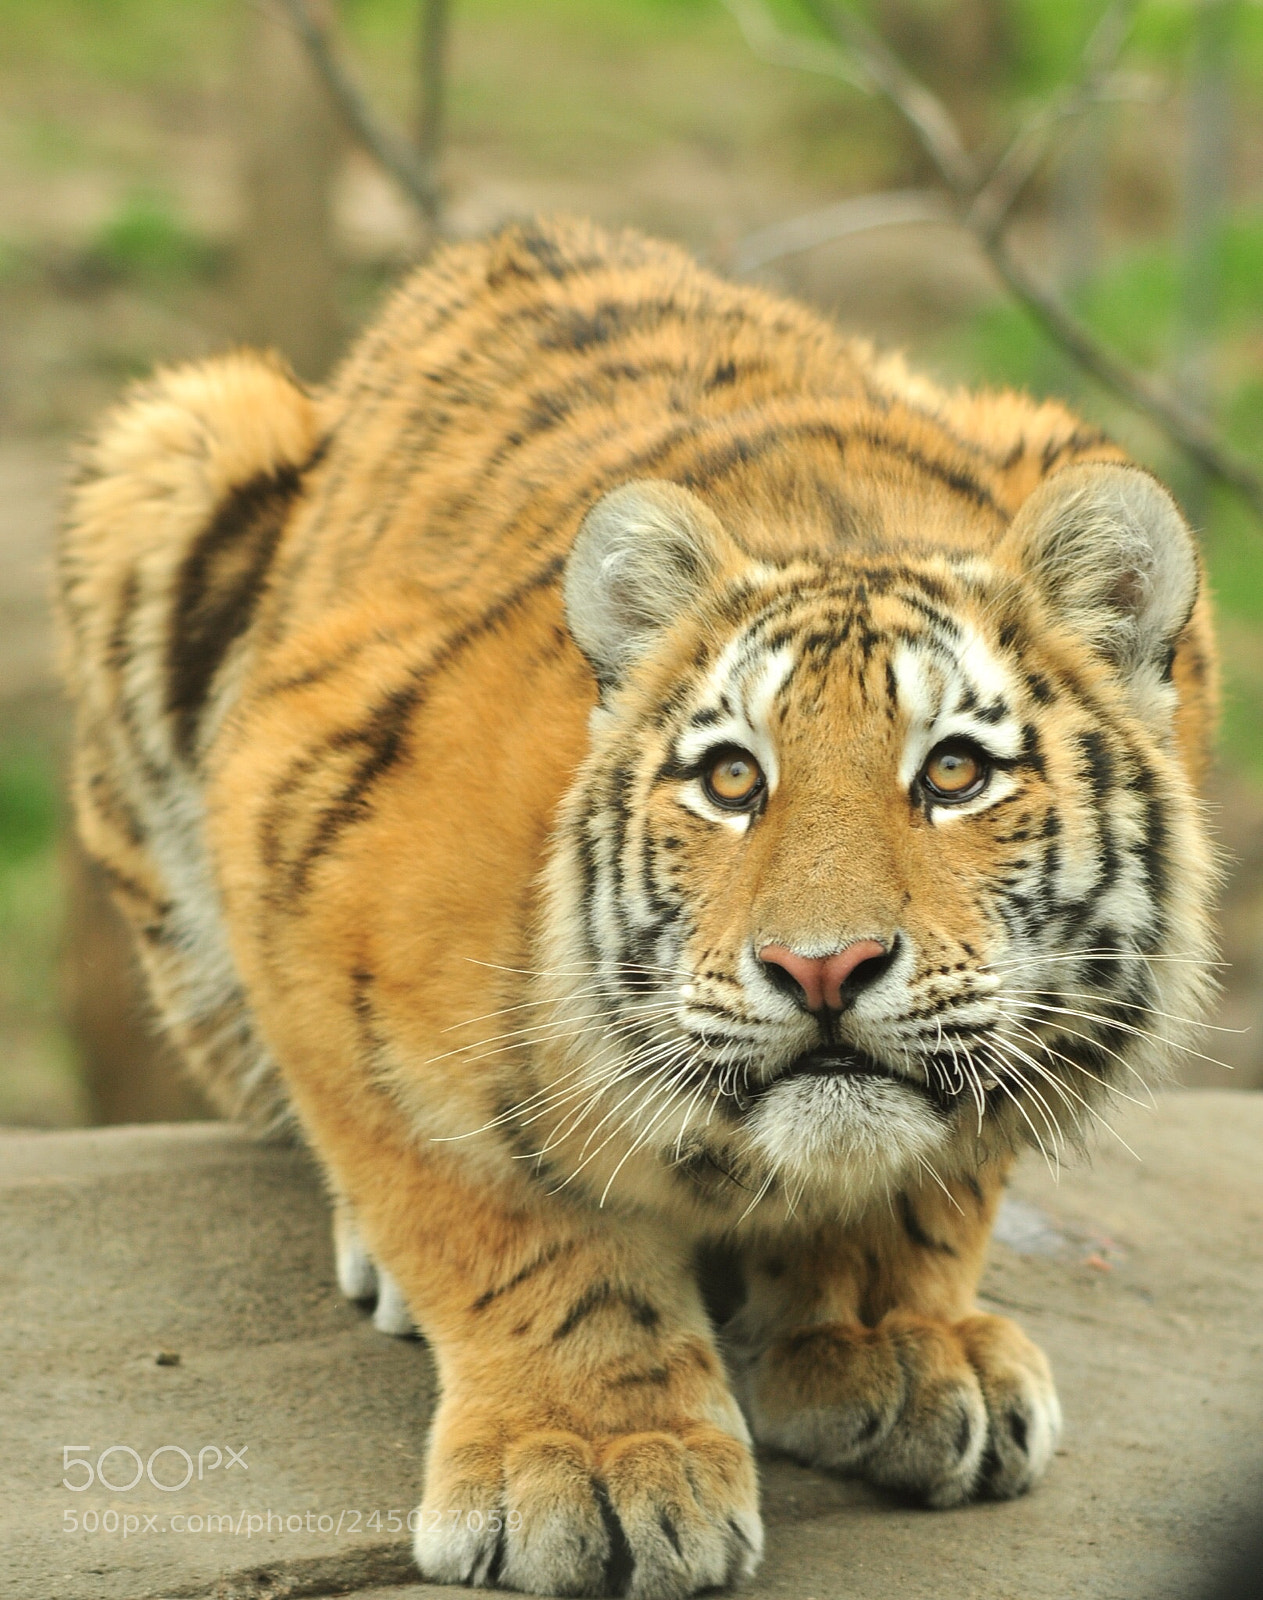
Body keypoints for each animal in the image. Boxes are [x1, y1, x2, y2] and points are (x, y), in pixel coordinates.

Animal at [57, 215, 1217, 1598]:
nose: (823, 967)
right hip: (179, 441)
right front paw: (595, 1458)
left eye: (954, 773)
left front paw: (896, 1335)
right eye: (731, 779)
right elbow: (504, 1214)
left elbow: (943, 1177)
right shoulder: (304, 837)